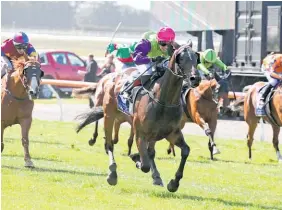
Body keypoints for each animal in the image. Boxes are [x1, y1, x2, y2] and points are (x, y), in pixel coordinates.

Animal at [76, 45, 197, 193]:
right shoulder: (141, 134)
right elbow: (144, 165)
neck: (163, 101)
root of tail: (111, 77)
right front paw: (136, 158)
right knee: (109, 145)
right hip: (109, 115)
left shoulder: (172, 133)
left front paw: (174, 183)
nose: (195, 78)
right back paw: (112, 174)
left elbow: (185, 151)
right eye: (182, 58)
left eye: (196, 58)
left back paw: (155, 176)